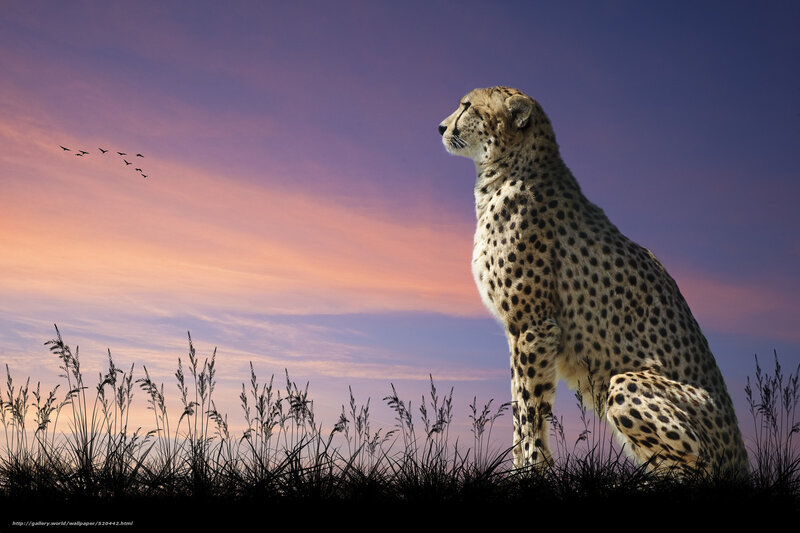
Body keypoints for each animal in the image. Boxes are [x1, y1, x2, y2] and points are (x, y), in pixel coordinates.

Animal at [438, 86, 748, 476]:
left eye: (466, 106)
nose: (440, 127)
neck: (504, 169)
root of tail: (740, 452)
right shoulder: (518, 331)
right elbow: (518, 409)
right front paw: (517, 469)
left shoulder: (533, 325)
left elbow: (530, 411)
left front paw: (531, 473)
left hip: (625, 383)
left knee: (696, 466)